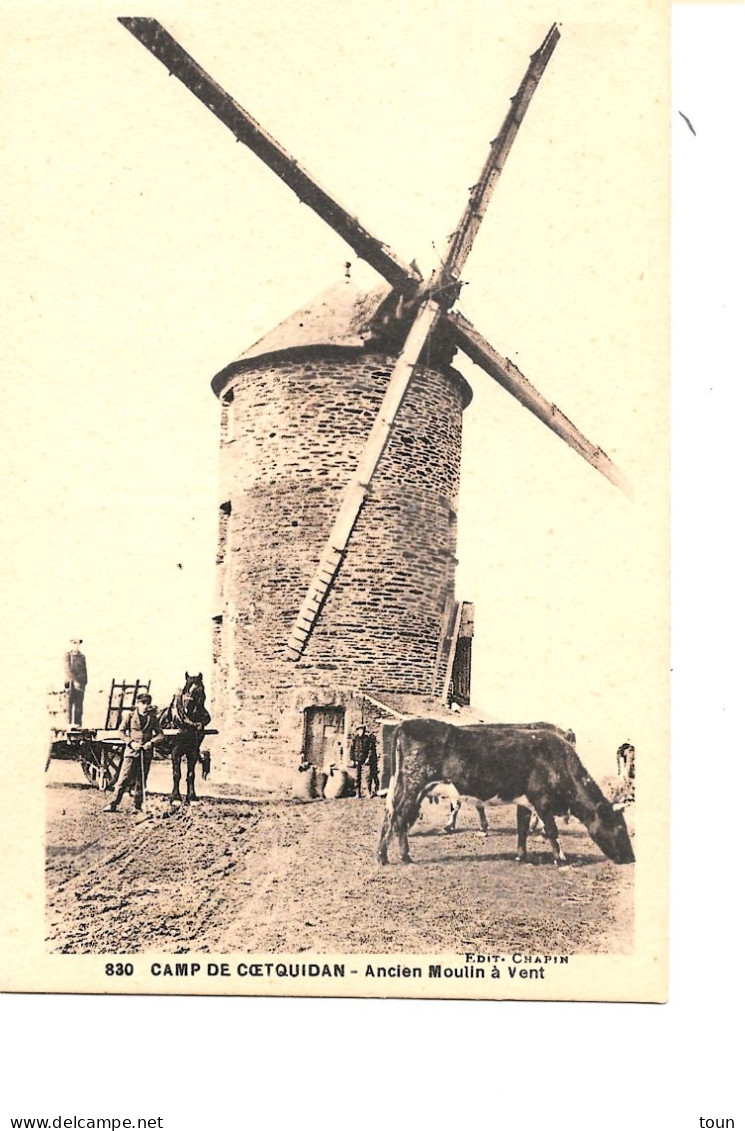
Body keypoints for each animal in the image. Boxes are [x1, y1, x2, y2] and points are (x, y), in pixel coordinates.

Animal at [160, 669, 212, 805]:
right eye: (187, 690)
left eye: (202, 690)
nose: (204, 717)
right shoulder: (175, 752)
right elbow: (177, 774)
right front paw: (175, 798)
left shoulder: (192, 752)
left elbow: (191, 774)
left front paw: (192, 797)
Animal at [379, 719, 637, 868]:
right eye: (619, 827)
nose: (631, 858)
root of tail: (405, 724)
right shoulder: (541, 801)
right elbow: (552, 831)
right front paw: (561, 859)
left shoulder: (525, 802)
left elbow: (522, 828)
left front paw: (521, 856)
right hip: (412, 785)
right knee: (398, 817)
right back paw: (393, 856)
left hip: (408, 788)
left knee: (395, 817)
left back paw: (394, 855)